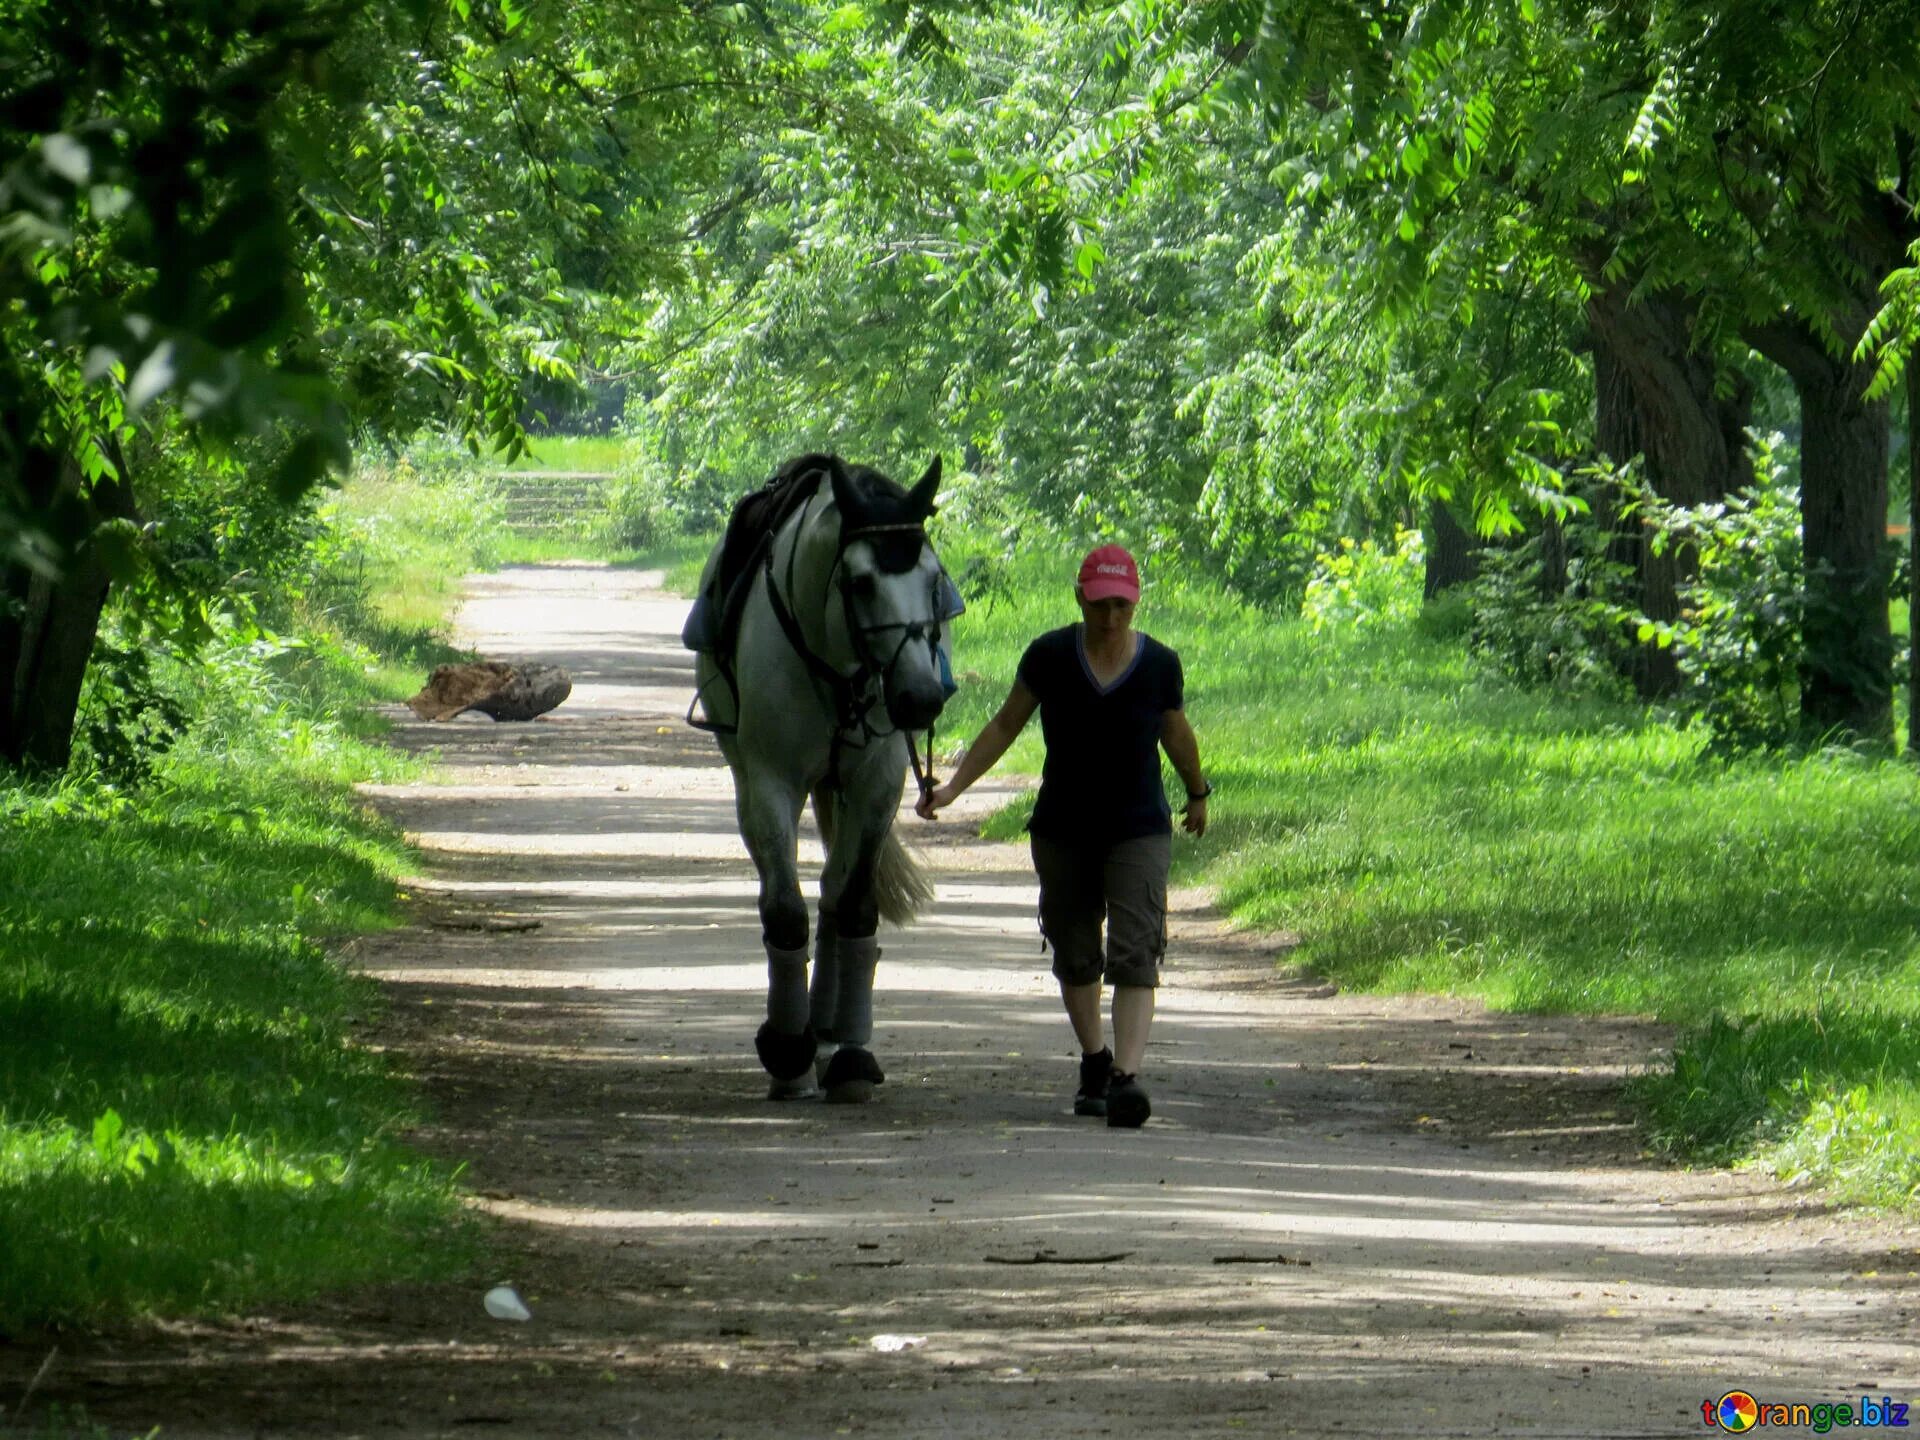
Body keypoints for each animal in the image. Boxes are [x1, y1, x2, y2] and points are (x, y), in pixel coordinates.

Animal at [691, 458, 960, 1105]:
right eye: (860, 582)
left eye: (934, 579)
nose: (920, 698)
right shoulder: (769, 785)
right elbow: (785, 912)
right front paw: (789, 1053)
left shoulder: (877, 784)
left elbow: (855, 906)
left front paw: (853, 1056)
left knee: (836, 893)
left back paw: (834, 1030)